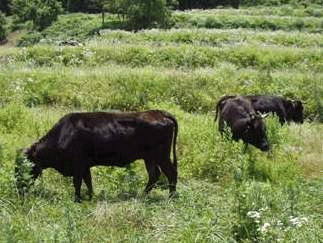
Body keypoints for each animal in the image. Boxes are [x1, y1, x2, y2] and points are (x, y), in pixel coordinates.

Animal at [24, 110, 180, 201]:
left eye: (25, 163)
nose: (20, 185)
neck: (63, 134)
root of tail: (160, 112)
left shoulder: (78, 165)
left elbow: (77, 183)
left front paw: (77, 200)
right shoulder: (84, 166)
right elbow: (88, 181)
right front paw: (91, 197)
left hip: (161, 155)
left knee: (171, 173)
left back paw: (171, 197)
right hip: (150, 157)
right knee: (154, 175)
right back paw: (143, 195)